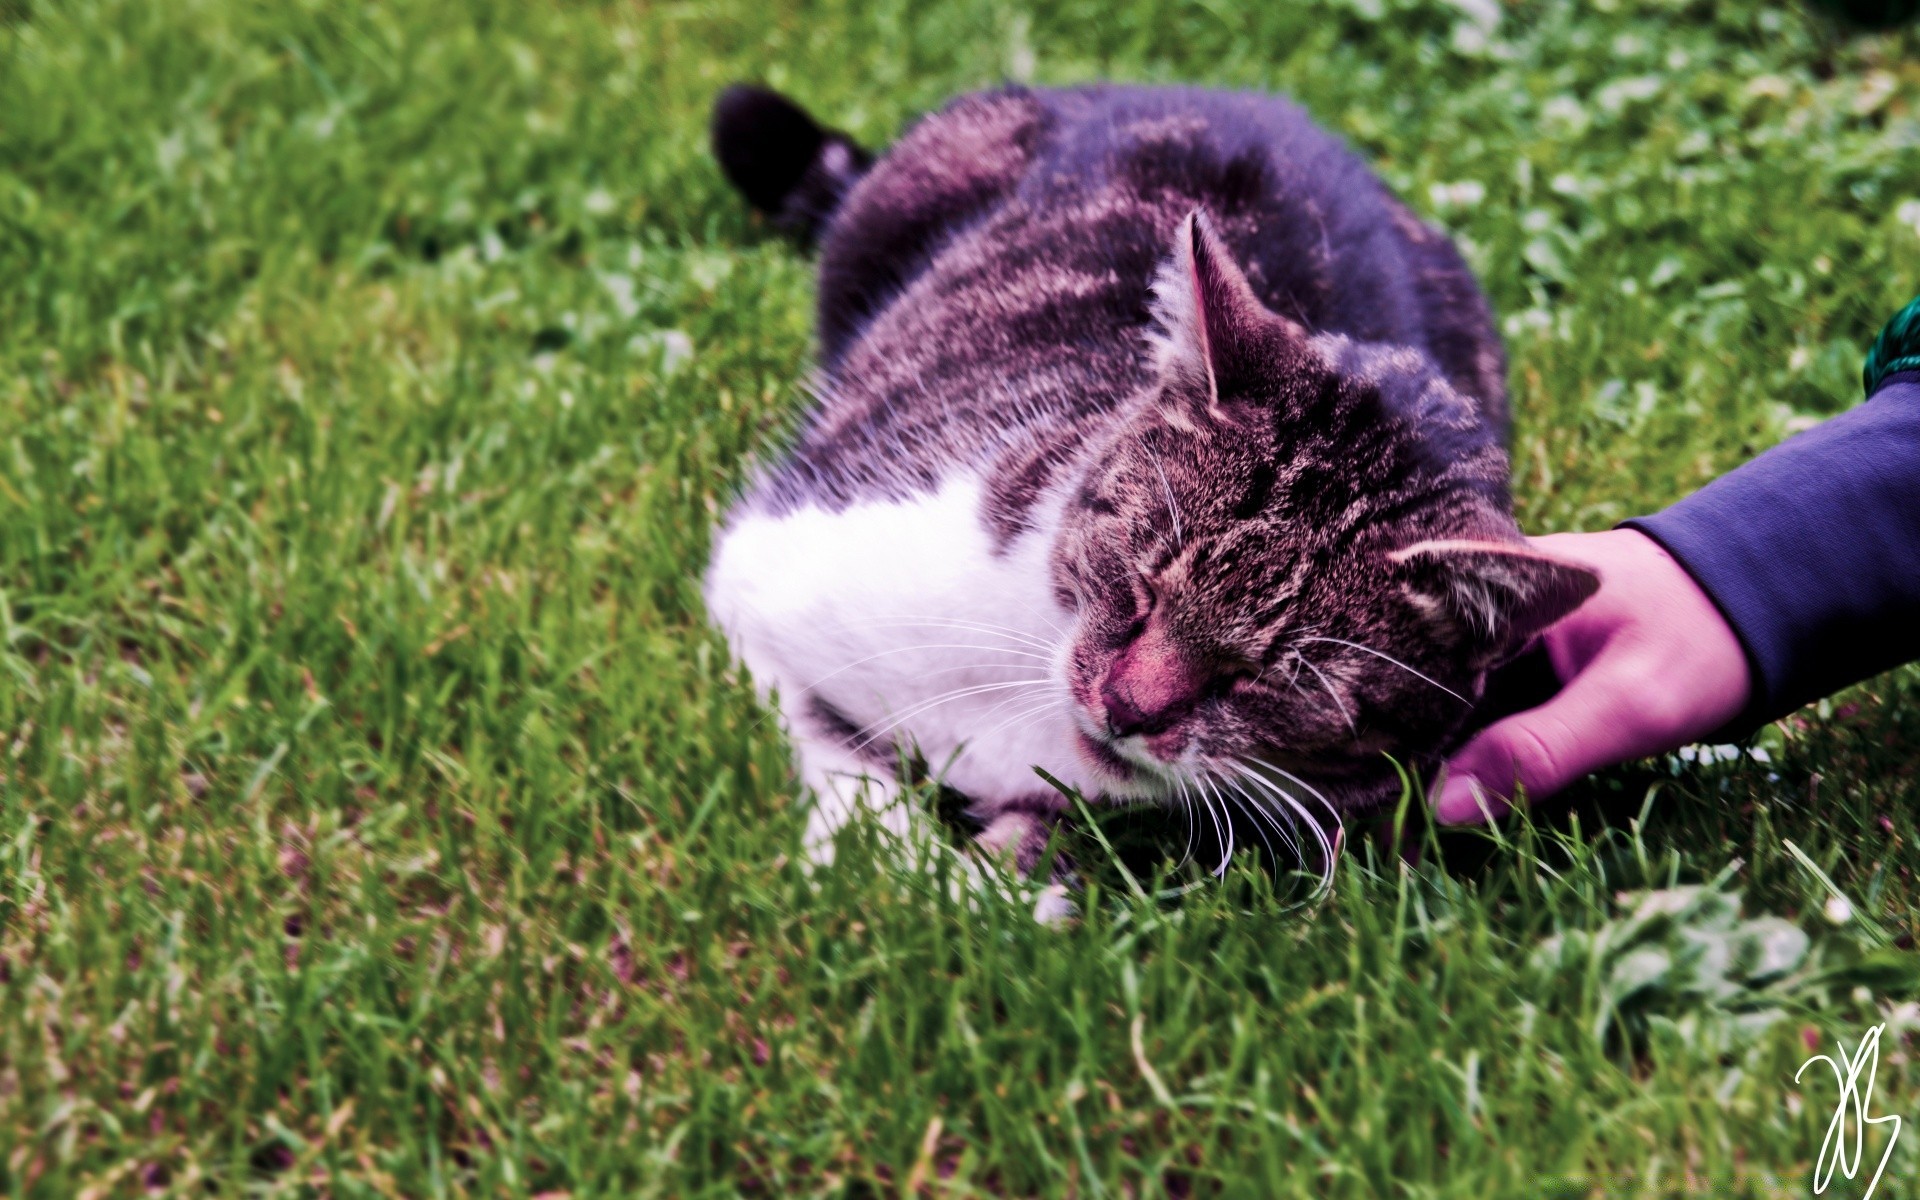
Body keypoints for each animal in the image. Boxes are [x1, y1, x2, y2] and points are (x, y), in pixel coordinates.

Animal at [698, 77, 1597, 879]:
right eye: (1142, 582)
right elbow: (831, 748)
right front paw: (894, 860)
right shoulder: (769, 564)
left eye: (1276, 677)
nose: (1126, 710)